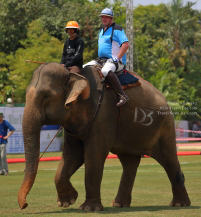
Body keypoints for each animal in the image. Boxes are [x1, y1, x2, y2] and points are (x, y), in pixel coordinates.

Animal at [18, 62, 191, 210]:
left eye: (45, 96)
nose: (24, 205)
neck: (76, 75)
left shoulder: (104, 112)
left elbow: (94, 154)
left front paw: (88, 208)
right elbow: (73, 154)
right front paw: (68, 202)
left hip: (165, 125)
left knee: (168, 159)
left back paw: (179, 204)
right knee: (129, 161)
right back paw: (119, 204)